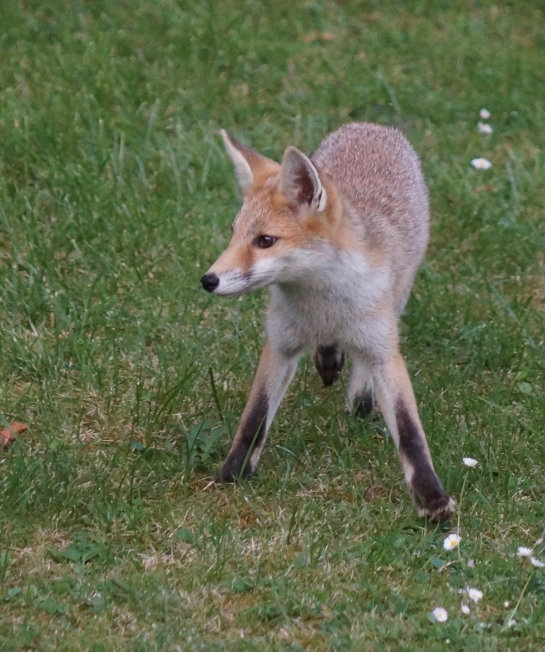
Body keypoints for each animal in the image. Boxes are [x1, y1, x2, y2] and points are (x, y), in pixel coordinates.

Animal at [200, 121, 454, 520]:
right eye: (234, 234)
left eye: (265, 240)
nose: (208, 280)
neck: (322, 306)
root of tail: (370, 126)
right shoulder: (281, 345)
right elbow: (254, 419)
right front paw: (233, 473)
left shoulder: (383, 349)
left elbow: (410, 432)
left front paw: (432, 499)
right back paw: (329, 357)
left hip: (395, 302)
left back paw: (358, 397)